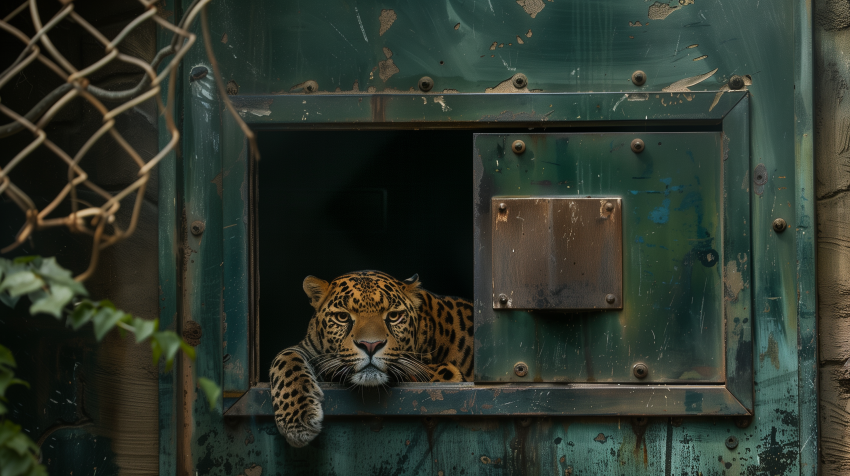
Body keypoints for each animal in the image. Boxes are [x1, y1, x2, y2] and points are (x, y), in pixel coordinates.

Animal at [270, 271, 474, 447]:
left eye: (394, 316)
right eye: (342, 317)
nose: (370, 345)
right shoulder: (306, 348)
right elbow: (285, 359)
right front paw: (297, 420)